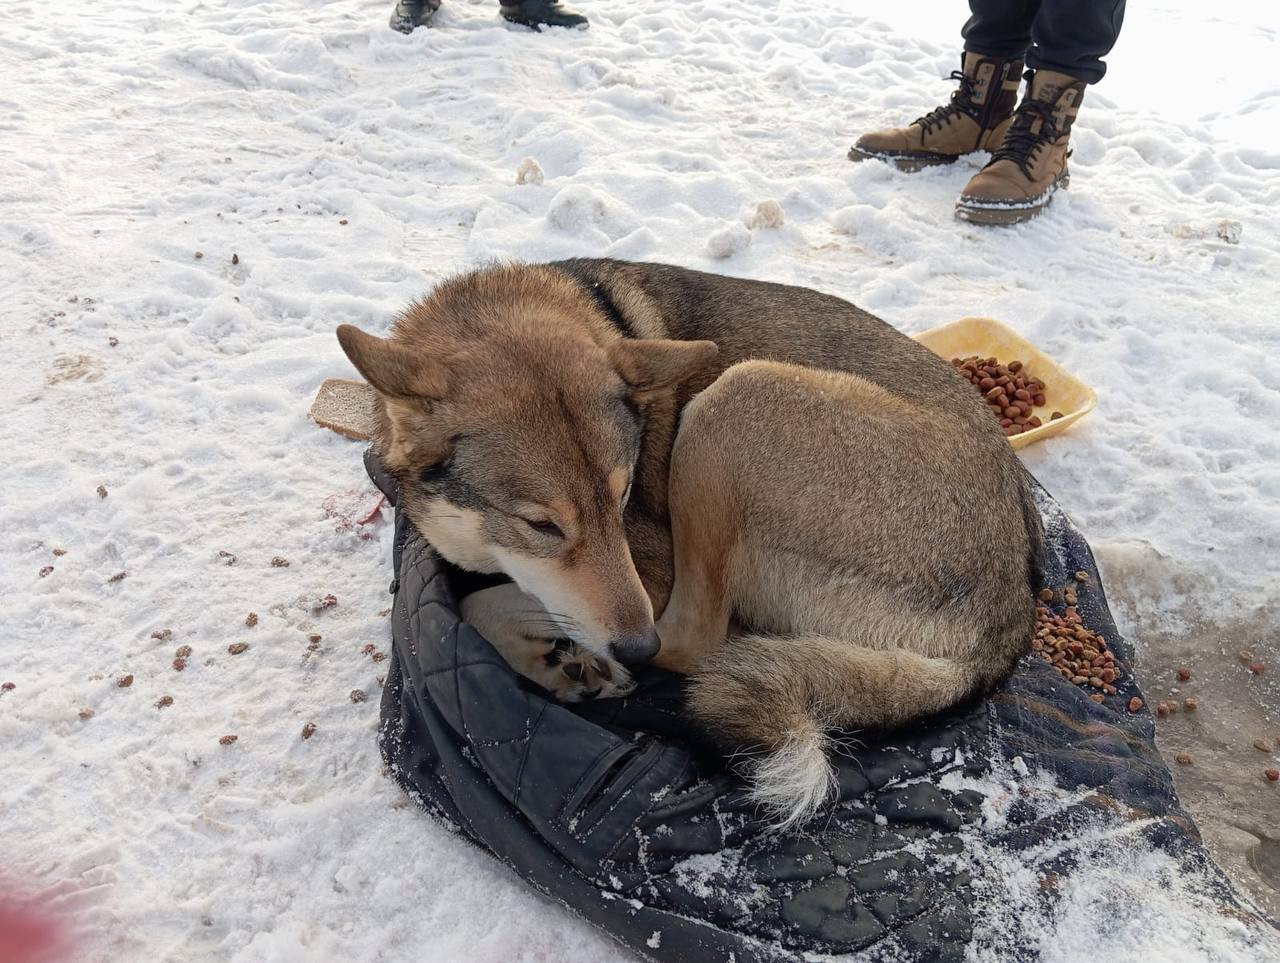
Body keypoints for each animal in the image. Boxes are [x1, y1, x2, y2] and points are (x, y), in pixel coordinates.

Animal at [337, 261, 1039, 829]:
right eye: (542, 526)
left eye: (623, 495)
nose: (634, 649)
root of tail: (1000, 634)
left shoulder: (647, 574)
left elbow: (483, 604)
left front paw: (561, 664)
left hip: (736, 401)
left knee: (699, 639)